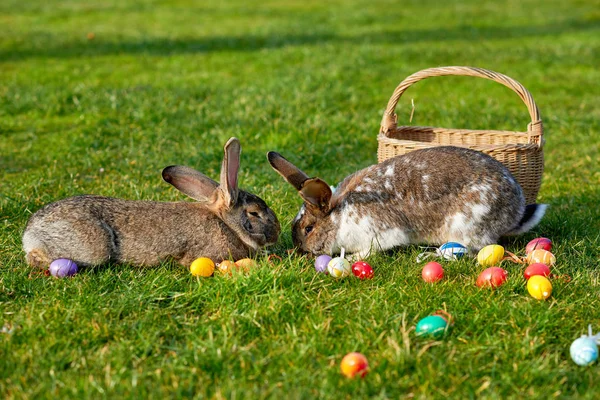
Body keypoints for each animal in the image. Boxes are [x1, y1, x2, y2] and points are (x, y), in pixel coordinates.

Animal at [270, 145, 548, 258]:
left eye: (309, 228)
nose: (301, 251)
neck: (339, 216)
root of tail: (515, 211)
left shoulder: (380, 233)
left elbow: (371, 250)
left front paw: (351, 258)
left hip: (467, 226)